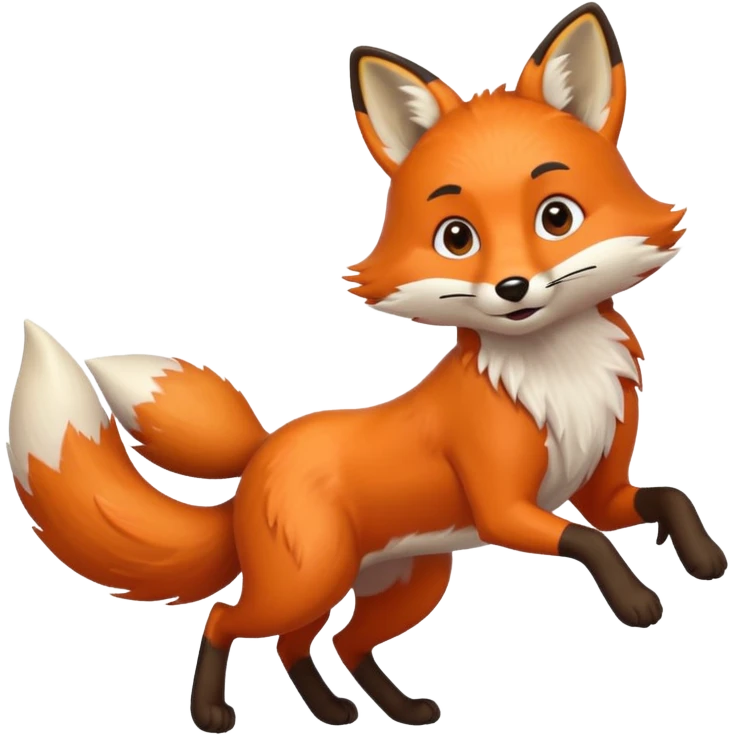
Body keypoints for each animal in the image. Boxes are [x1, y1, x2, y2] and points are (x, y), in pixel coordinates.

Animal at [6, 3, 728, 733]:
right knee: (229, 618)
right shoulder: (505, 507)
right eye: (456, 237)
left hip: (403, 581)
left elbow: (666, 498)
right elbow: (588, 544)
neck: (556, 375)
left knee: (327, 642)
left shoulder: (601, 487)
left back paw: (362, 709)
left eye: (557, 216)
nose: (513, 288)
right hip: (310, 578)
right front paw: (636, 601)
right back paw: (212, 711)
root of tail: (259, 457)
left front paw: (704, 558)